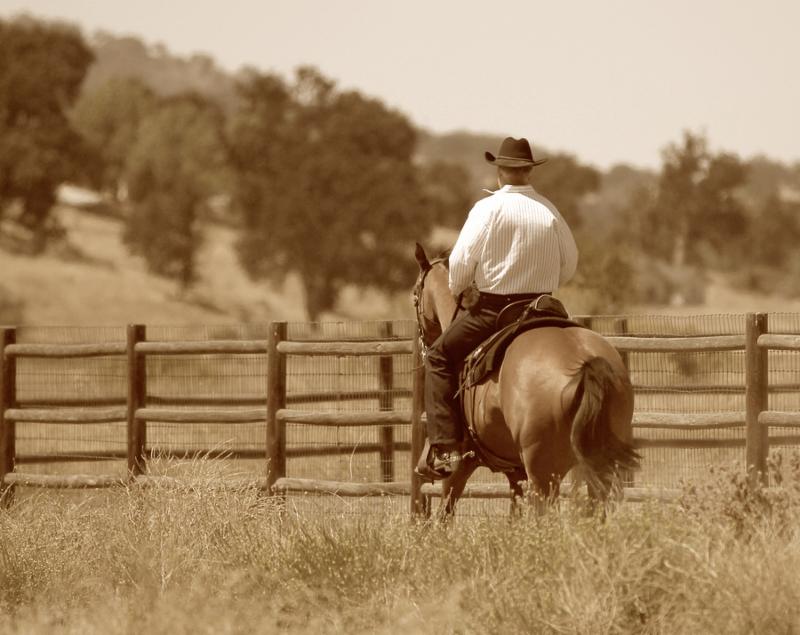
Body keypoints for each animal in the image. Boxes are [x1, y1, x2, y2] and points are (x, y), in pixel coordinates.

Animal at [412, 243, 640, 517]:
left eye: (414, 296)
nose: (424, 344)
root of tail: (586, 360)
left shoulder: (460, 467)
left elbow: (445, 513)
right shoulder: (515, 472)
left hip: (543, 473)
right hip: (599, 467)